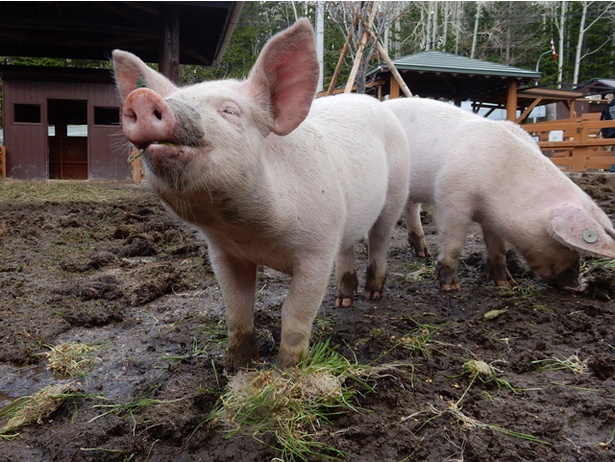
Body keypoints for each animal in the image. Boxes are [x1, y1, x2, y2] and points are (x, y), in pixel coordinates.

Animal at [113, 19, 412, 370]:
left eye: (230, 111)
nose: (142, 98)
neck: (252, 235)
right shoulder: (223, 253)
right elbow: (236, 309)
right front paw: (238, 366)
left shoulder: (317, 250)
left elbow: (295, 314)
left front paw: (287, 370)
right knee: (349, 246)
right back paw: (343, 301)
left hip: (396, 192)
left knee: (380, 240)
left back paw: (373, 295)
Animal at [384, 97, 615, 290]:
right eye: (561, 243)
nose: (577, 287)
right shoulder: (451, 198)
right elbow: (454, 243)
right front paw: (451, 288)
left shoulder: (492, 217)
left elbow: (498, 249)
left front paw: (507, 284)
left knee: (411, 207)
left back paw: (423, 253)